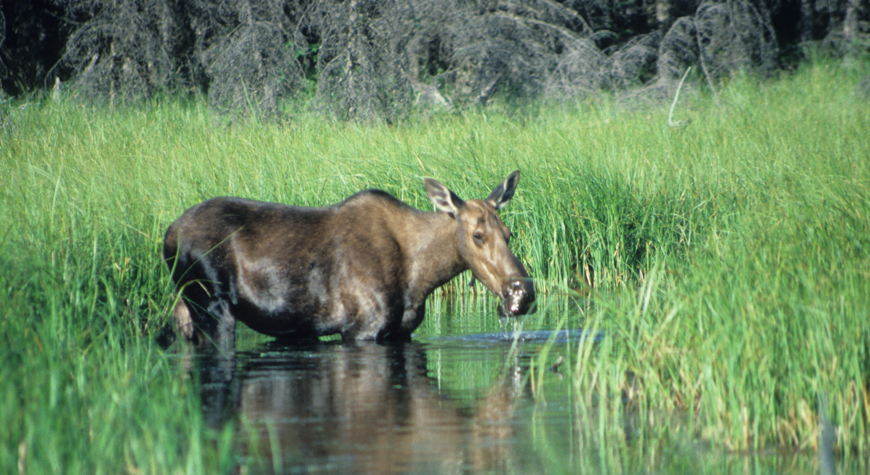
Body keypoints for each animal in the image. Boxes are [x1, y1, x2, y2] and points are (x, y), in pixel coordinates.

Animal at [160, 171, 536, 350]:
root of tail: (167, 235)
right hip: (213, 305)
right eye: (477, 235)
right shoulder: (361, 329)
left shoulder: (400, 333)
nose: (522, 293)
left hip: (185, 307)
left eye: (509, 233)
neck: (422, 277)